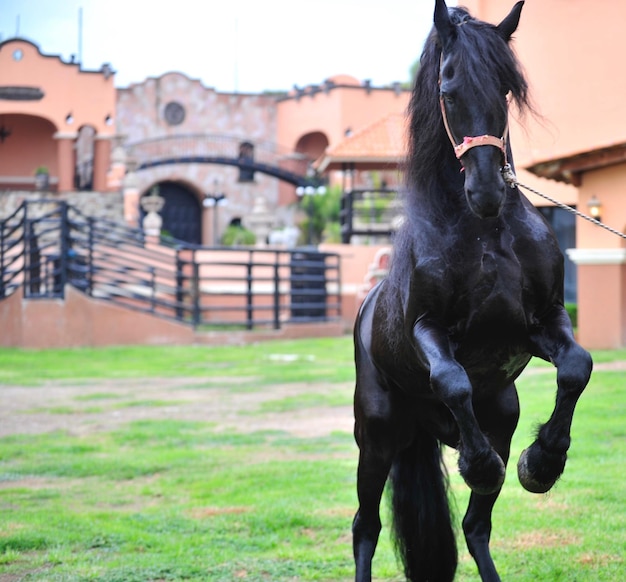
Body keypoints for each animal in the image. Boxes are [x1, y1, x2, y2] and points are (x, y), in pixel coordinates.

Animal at [352, 2, 588, 580]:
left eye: (505, 88)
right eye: (449, 87)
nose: (486, 191)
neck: (485, 232)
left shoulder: (543, 321)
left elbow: (578, 366)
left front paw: (542, 462)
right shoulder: (428, 329)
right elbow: (453, 379)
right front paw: (479, 465)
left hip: (500, 418)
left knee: (475, 527)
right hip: (377, 437)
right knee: (365, 525)